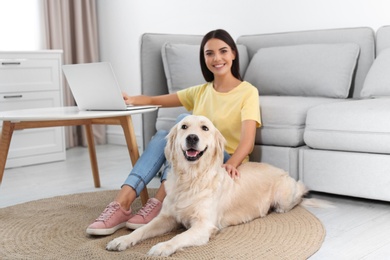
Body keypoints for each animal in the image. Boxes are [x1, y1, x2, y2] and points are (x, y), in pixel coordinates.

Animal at [106, 115, 308, 256]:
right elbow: (142, 230)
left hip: (284, 196)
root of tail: (283, 170)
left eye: (205, 128)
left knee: (298, 193)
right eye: (184, 126)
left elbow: (178, 237)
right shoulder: (167, 217)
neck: (191, 178)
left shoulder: (203, 226)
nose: (192, 138)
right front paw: (121, 240)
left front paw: (162, 246)